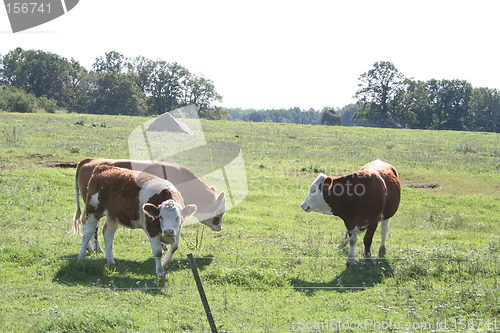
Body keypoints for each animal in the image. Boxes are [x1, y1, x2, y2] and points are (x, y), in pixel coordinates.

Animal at [73, 158, 225, 252]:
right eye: (219, 212)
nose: (219, 227)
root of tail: (90, 160)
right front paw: (163, 246)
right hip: (93, 207)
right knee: (91, 225)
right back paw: (96, 248)